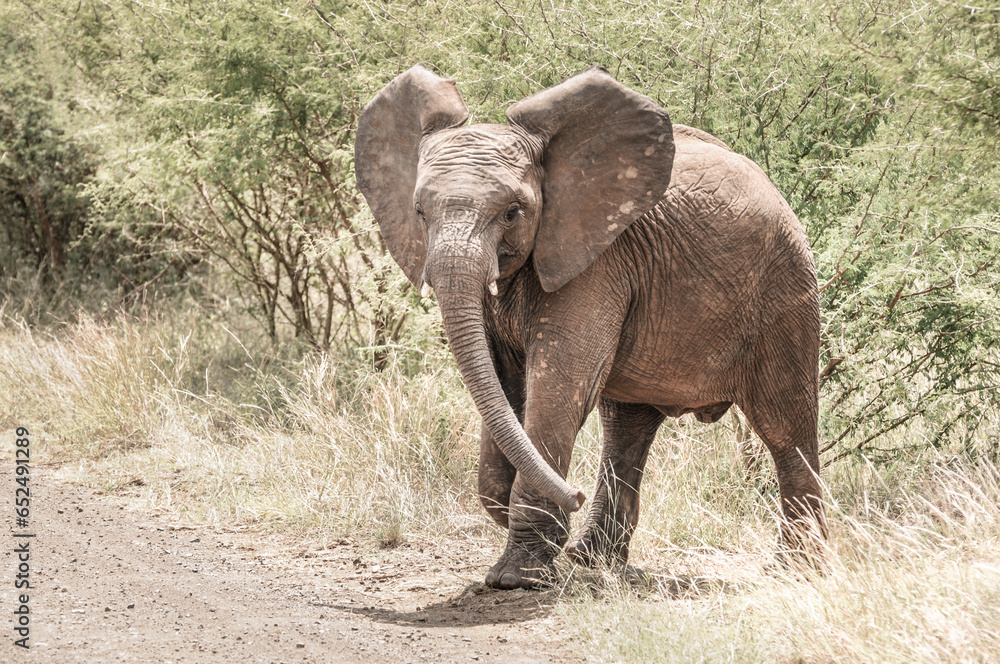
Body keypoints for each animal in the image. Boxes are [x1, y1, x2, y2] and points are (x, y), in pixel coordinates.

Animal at [354, 65, 825, 589]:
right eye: (419, 212)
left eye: (513, 212)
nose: (573, 494)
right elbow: (501, 380)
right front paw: (523, 526)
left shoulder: (597, 262)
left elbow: (560, 385)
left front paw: (516, 577)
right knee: (626, 428)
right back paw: (592, 560)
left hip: (784, 292)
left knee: (785, 428)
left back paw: (799, 569)